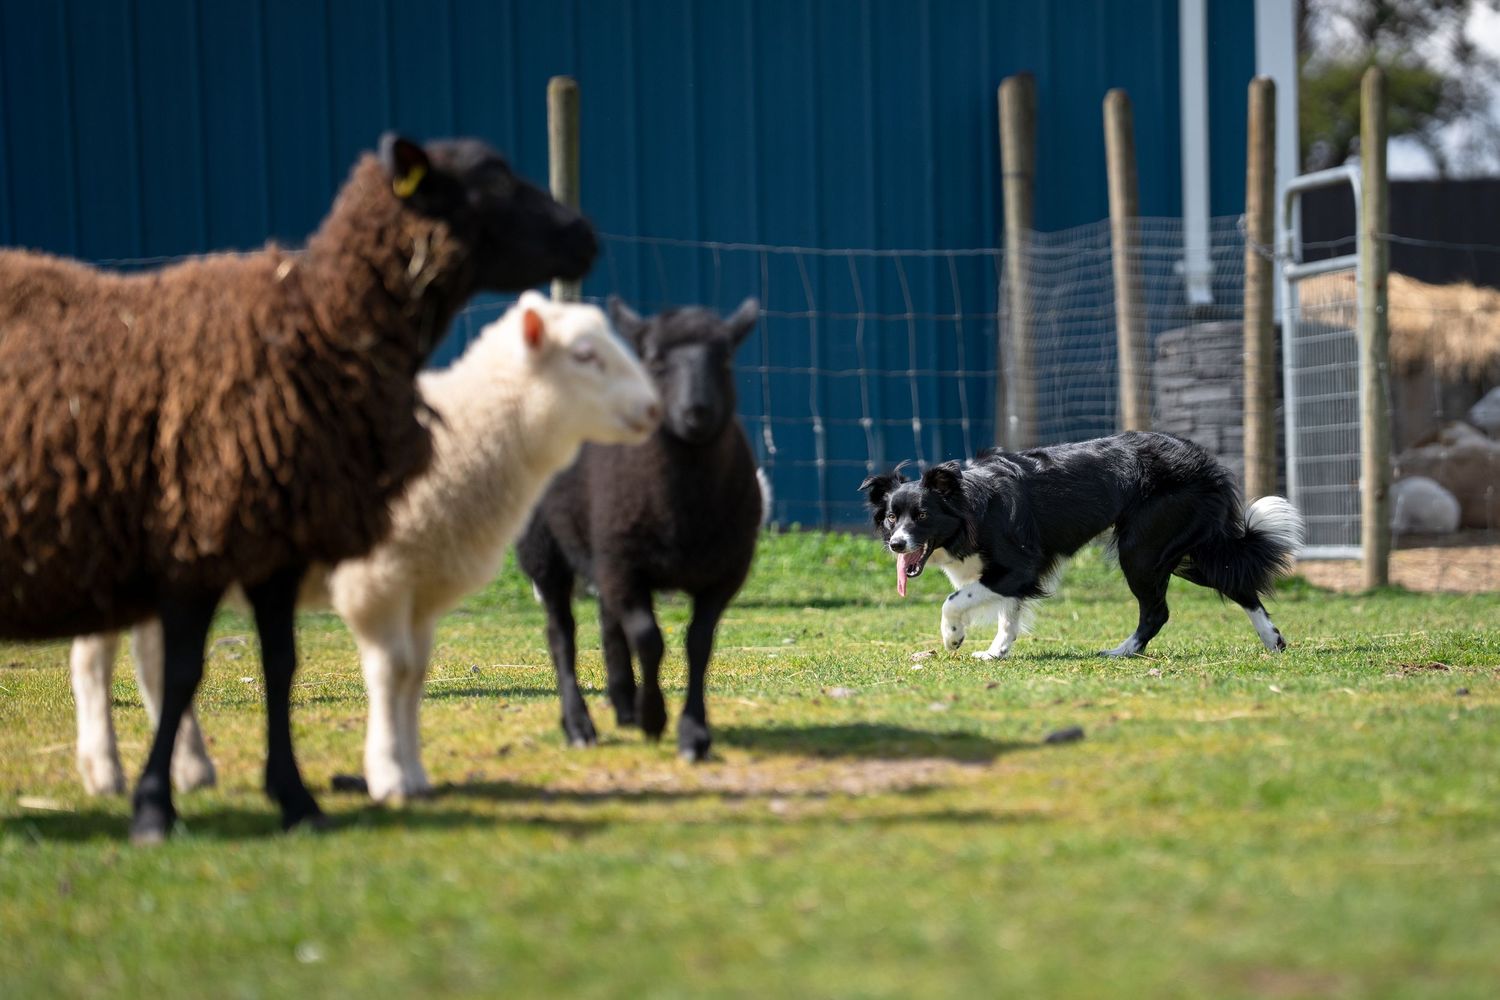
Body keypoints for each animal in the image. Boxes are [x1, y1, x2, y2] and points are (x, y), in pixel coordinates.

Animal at [69, 293, 661, 803]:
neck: (464, 440)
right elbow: (390, 670)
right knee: (94, 659)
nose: (654, 409)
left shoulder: (421, 585)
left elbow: (415, 673)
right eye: (584, 355)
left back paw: (191, 769)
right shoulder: (377, 578)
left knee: (152, 657)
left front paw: (415, 774)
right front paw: (389, 775)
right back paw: (105, 771)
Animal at [516, 297, 762, 762]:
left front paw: (693, 733)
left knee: (608, 621)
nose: (697, 412)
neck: (684, 512)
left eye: (725, 357)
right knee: (561, 634)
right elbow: (649, 639)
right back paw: (580, 725)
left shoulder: (723, 574)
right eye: (653, 359)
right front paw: (654, 717)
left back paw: (623, 702)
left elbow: (699, 644)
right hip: (546, 548)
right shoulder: (625, 566)